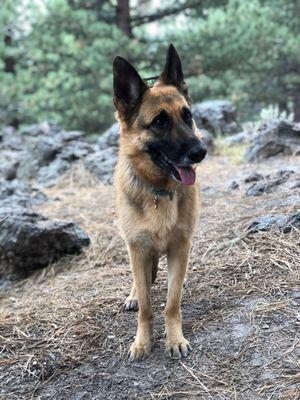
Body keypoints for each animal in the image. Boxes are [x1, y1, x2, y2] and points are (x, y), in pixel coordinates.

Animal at [112, 44, 206, 362]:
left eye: (187, 116)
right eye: (159, 122)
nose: (201, 152)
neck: (159, 191)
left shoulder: (180, 248)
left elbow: (171, 303)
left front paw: (174, 338)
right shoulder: (138, 249)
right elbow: (146, 306)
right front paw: (142, 342)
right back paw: (132, 294)